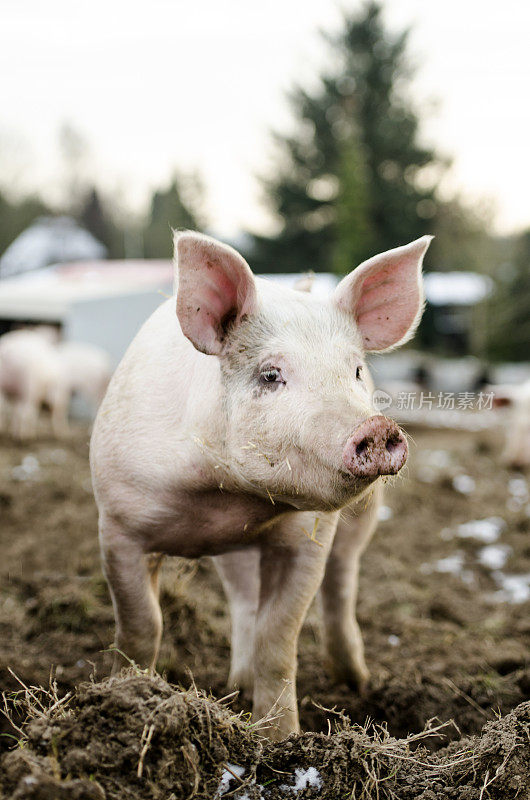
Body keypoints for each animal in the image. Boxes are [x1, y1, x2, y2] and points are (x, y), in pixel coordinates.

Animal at [91, 228, 428, 740]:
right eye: (270, 375)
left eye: (354, 371)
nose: (376, 427)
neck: (225, 498)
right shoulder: (117, 523)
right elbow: (140, 625)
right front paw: (127, 695)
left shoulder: (306, 540)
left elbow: (279, 638)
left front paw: (281, 740)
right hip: (234, 556)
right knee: (244, 599)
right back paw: (237, 685)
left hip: (361, 520)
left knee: (341, 582)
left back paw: (356, 682)